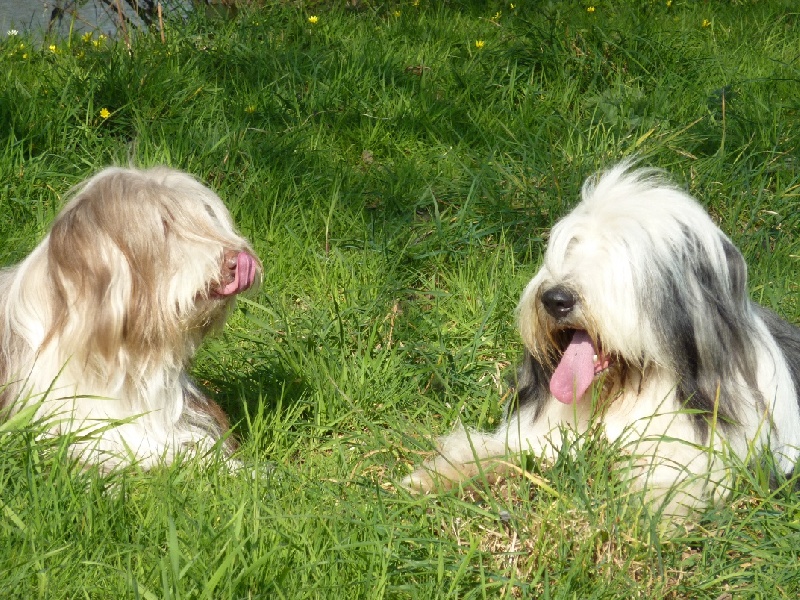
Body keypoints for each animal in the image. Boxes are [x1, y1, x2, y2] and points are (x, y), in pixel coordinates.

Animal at [404, 162, 800, 517]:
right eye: (570, 246)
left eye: (622, 252)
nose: (555, 299)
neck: (629, 389)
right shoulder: (542, 431)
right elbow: (499, 449)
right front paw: (434, 476)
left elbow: (672, 475)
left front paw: (649, 516)